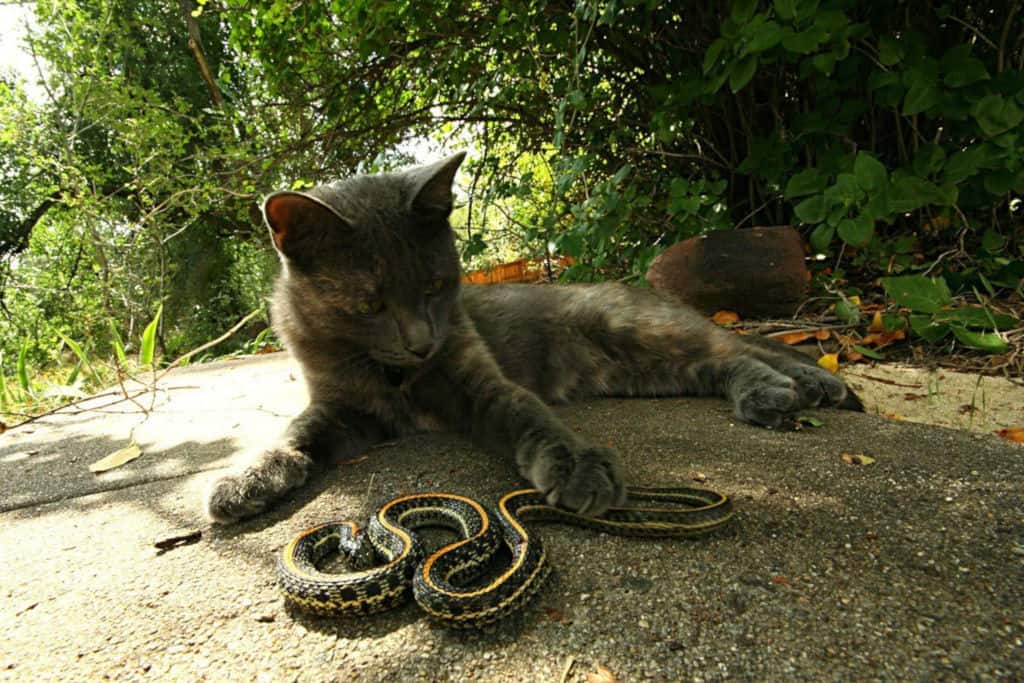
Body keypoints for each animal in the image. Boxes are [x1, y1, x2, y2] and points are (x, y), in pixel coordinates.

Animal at [203, 150, 860, 524]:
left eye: (436, 285)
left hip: (637, 328)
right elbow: (296, 433)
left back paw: (786, 388)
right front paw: (249, 477)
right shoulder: (342, 407)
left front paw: (575, 465)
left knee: (738, 349)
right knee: (725, 358)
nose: (421, 343)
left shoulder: (476, 378)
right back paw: (807, 386)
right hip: (642, 370)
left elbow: (526, 413)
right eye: (369, 303)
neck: (393, 374)